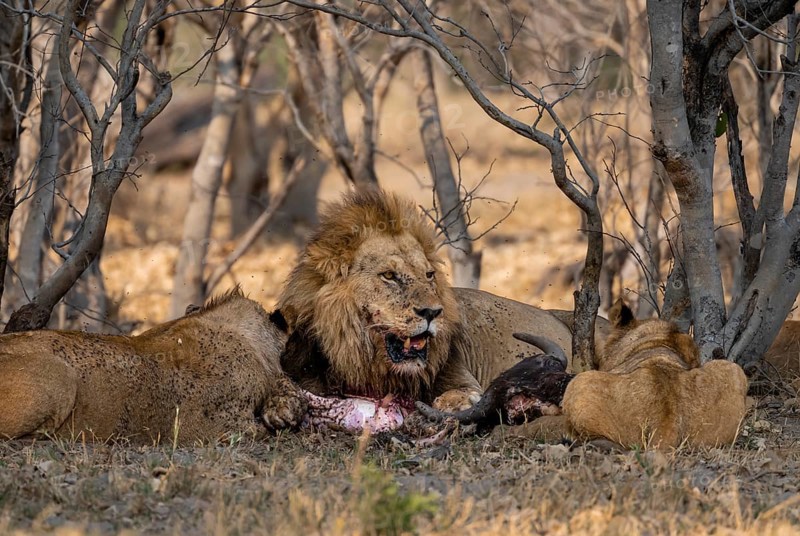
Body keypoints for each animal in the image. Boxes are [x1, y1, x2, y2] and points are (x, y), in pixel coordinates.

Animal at [277, 189, 601, 412]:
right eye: (389, 276)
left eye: (429, 274)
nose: (432, 312)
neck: (369, 364)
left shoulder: (463, 380)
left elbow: (457, 396)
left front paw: (454, 404)